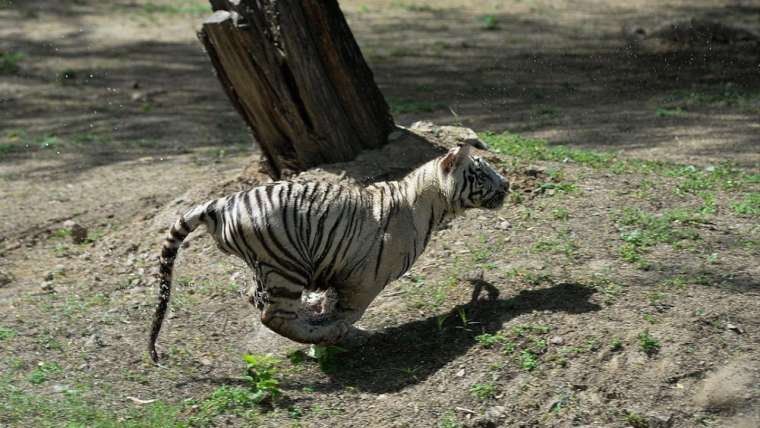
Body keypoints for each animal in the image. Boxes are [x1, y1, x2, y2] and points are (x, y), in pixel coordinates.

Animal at [147, 145, 510, 362]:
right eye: (481, 172)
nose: (506, 185)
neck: (428, 201)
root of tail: (221, 203)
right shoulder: (364, 281)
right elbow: (348, 313)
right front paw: (336, 333)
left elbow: (332, 306)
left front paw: (326, 322)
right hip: (286, 265)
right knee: (273, 315)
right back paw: (331, 334)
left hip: (269, 268)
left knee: (256, 298)